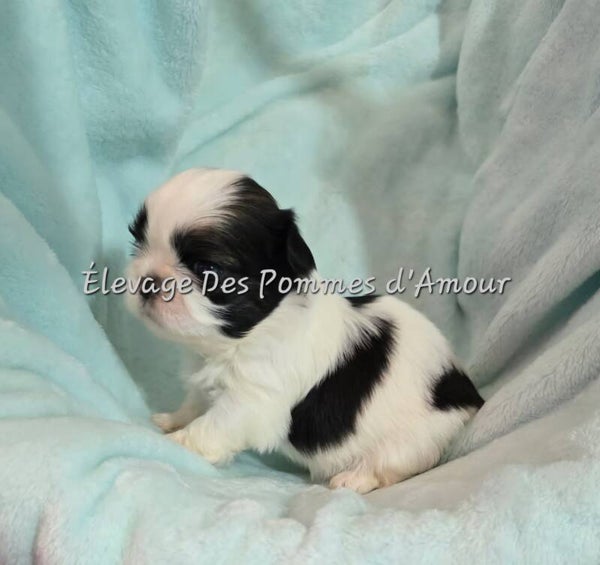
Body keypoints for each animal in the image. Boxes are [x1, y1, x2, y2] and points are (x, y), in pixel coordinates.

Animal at [126, 168, 483, 493]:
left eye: (207, 269)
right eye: (138, 245)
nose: (148, 281)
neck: (246, 336)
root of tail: (468, 393)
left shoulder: (253, 398)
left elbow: (212, 425)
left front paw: (178, 442)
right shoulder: (209, 381)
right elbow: (197, 404)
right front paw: (173, 420)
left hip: (415, 438)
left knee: (391, 463)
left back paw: (353, 478)